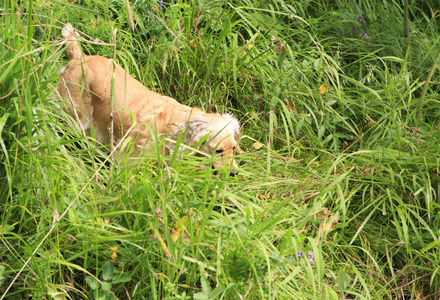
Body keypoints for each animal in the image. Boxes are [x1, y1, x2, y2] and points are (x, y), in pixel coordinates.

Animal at [57, 24, 242, 177]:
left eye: (233, 148)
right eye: (218, 151)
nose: (234, 173)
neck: (172, 131)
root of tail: (79, 56)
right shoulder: (128, 160)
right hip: (76, 119)